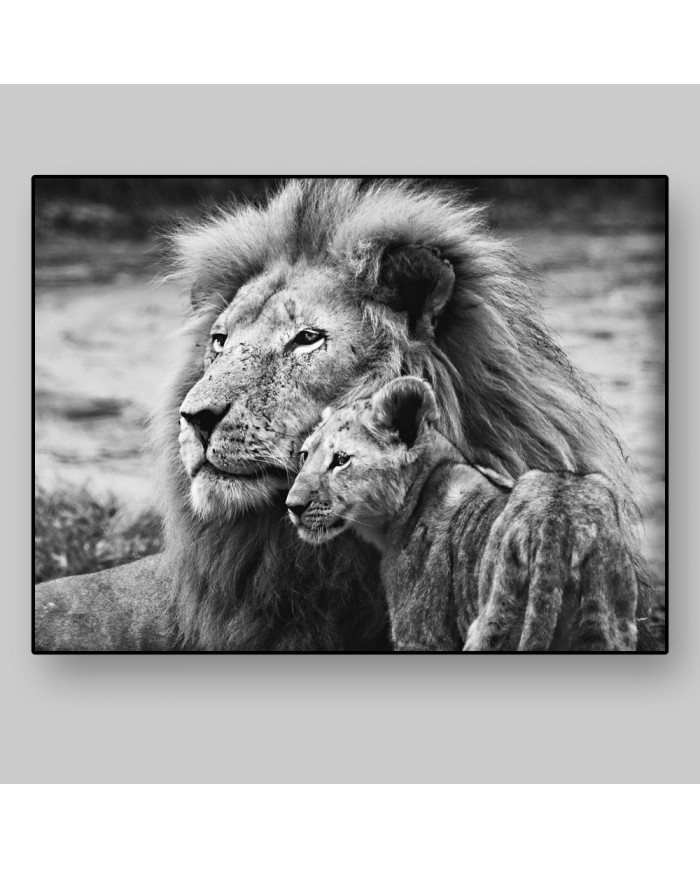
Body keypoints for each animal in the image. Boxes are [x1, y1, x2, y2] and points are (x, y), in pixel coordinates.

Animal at [285, 377, 638, 651]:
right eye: (304, 455)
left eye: (341, 459)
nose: (292, 506)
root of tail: (559, 520)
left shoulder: (423, 636)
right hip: (609, 625)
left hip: (493, 622)